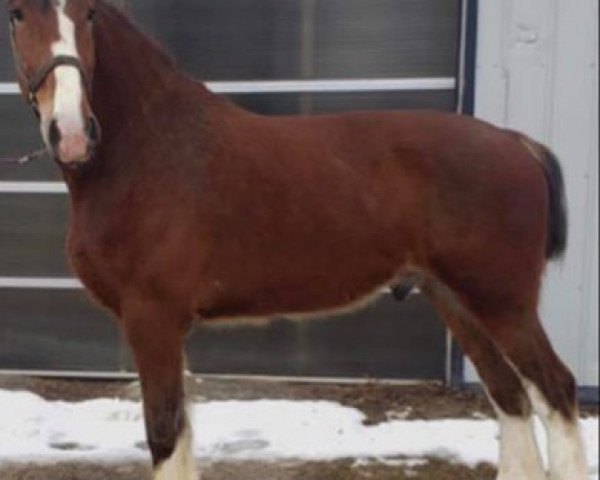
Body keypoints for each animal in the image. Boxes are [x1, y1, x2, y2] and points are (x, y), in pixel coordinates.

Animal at [2, 0, 588, 480]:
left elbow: (165, 433)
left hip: (503, 303)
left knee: (555, 390)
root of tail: (516, 142)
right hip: (457, 301)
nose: (71, 132)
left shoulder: (154, 318)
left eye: (89, 13)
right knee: (509, 395)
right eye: (17, 12)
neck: (147, 150)